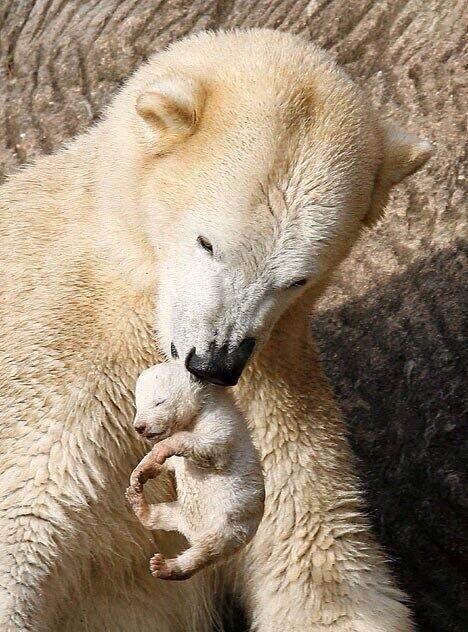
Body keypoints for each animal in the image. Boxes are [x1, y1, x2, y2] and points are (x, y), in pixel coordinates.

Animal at [0, 28, 432, 632]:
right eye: (208, 243)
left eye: (297, 277)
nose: (215, 361)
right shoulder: (60, 364)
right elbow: (28, 518)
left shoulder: (273, 395)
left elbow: (320, 568)